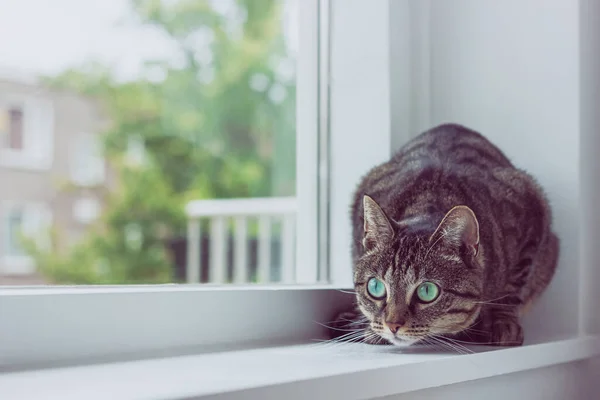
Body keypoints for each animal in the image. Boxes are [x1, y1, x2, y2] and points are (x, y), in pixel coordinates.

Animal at [332, 122, 556, 346]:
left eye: (427, 291)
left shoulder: (530, 206)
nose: (392, 325)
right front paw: (370, 329)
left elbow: (511, 288)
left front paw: (503, 322)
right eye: (375, 287)